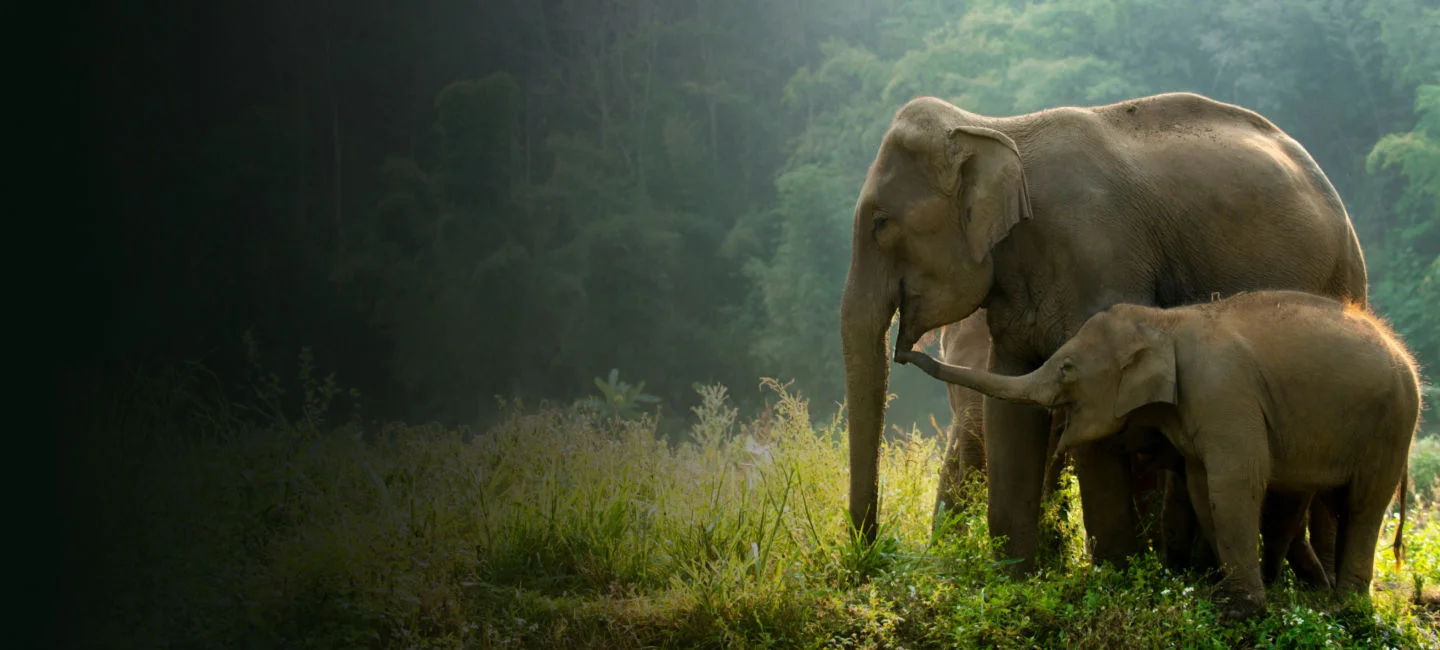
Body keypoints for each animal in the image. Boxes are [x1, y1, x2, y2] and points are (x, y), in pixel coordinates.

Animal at [840, 91, 1368, 577]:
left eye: (881, 223)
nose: (905, 351)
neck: (994, 127)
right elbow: (1009, 409)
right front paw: (1015, 580)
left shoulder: (1097, 258)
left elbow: (1096, 410)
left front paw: (1115, 576)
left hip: (1344, 278)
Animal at [896, 290, 1418, 619]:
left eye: (1066, 369)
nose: (906, 351)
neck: (1165, 322)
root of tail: (1404, 354)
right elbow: (1202, 484)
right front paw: (1213, 592)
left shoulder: (1224, 393)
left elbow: (1237, 480)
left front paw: (1239, 611)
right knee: (1339, 500)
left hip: (1394, 420)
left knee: (1364, 504)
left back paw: (1347, 608)